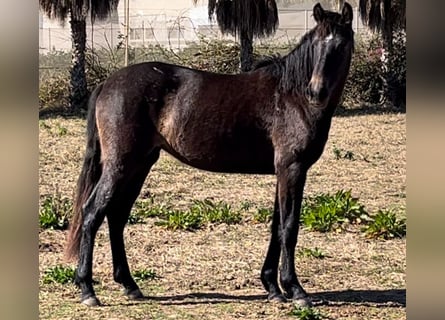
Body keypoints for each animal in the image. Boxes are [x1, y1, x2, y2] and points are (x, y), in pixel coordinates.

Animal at [65, 2, 354, 308]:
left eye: (340, 45)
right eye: (317, 44)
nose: (316, 91)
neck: (291, 96)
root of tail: (107, 84)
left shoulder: (283, 172)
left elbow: (277, 227)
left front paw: (272, 287)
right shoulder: (293, 169)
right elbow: (289, 228)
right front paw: (295, 290)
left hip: (139, 165)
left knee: (116, 216)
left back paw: (130, 285)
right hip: (120, 165)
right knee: (92, 213)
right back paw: (87, 289)